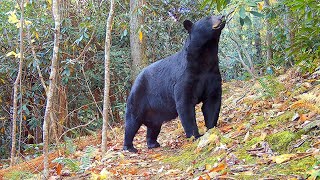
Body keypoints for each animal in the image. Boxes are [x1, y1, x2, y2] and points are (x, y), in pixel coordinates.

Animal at [122, 14, 225, 152]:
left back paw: (153, 143)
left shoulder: (212, 75)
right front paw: (195, 135)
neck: (204, 60)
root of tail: (135, 81)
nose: (222, 16)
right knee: (132, 122)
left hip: (155, 112)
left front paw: (211, 129)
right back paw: (129, 147)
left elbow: (212, 101)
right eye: (208, 18)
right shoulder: (183, 78)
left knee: (153, 126)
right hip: (138, 97)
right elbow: (185, 104)